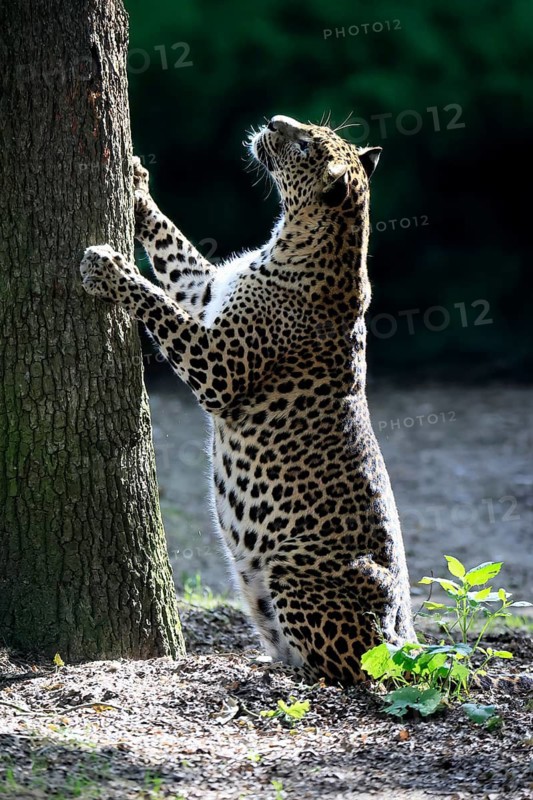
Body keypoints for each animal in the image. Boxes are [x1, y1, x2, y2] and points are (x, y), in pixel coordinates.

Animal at [79, 114, 423, 685]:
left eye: (303, 144)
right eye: (310, 130)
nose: (276, 121)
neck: (293, 240)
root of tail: (411, 638)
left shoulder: (218, 365)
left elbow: (157, 302)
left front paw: (109, 268)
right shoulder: (202, 290)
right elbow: (173, 249)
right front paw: (136, 183)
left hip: (295, 565)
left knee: (351, 669)